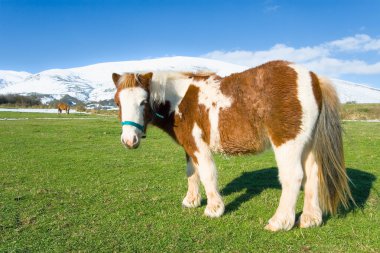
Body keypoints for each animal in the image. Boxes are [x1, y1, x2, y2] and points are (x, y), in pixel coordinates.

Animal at [112, 60, 354, 231]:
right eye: (117, 102)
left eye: (143, 101)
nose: (129, 141)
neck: (181, 99)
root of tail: (313, 77)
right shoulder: (189, 146)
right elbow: (192, 173)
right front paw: (191, 201)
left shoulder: (198, 145)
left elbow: (207, 173)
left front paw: (214, 209)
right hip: (308, 145)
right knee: (313, 174)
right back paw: (310, 219)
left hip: (288, 144)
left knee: (293, 177)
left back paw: (280, 222)